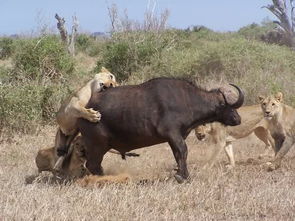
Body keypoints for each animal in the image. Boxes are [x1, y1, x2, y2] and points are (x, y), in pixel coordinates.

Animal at [77, 77, 245, 183]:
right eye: (229, 106)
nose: (238, 119)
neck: (187, 100)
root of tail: (86, 108)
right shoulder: (173, 134)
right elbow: (183, 151)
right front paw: (183, 176)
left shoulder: (173, 138)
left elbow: (178, 154)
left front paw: (181, 174)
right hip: (97, 146)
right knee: (92, 165)